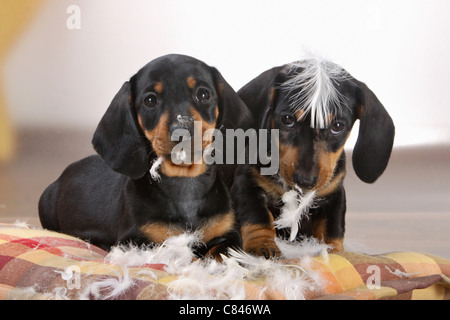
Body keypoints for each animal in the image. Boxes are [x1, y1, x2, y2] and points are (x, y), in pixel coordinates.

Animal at [38, 53, 253, 258]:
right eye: (150, 100)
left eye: (203, 94)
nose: (181, 130)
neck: (184, 184)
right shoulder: (135, 241)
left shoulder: (229, 235)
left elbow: (220, 253)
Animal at [232, 58, 394, 258]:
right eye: (287, 119)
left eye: (337, 126)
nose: (305, 181)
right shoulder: (246, 183)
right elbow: (257, 216)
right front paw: (262, 245)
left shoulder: (333, 196)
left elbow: (331, 230)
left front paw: (334, 254)